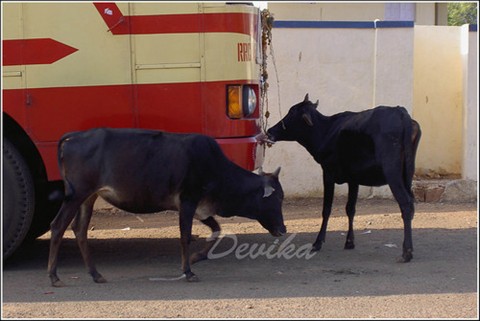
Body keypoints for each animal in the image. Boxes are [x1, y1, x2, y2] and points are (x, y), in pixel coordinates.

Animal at [47, 127, 284, 284]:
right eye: (275, 199)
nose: (282, 229)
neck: (216, 170)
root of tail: (73, 137)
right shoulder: (187, 201)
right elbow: (185, 237)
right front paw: (188, 271)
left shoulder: (201, 209)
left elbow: (217, 229)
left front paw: (198, 257)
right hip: (77, 195)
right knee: (58, 226)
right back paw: (53, 275)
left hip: (88, 197)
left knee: (80, 230)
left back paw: (95, 274)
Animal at [266, 93, 420, 262]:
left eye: (292, 112)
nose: (269, 131)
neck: (325, 131)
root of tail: (401, 112)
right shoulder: (353, 179)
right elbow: (350, 209)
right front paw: (349, 241)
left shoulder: (328, 173)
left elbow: (326, 209)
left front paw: (318, 242)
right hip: (407, 174)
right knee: (411, 203)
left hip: (392, 172)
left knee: (406, 204)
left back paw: (407, 251)